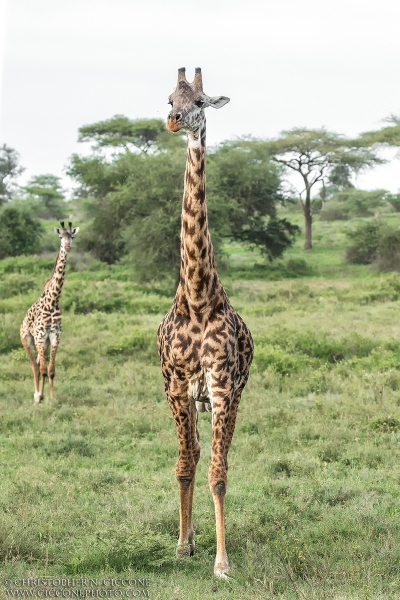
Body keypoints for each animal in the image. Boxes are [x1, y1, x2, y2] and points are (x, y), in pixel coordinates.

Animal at [20, 220, 79, 404]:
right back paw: (36, 396)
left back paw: (41, 394)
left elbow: (51, 370)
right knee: (34, 365)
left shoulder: (54, 336)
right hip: (27, 340)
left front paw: (52, 399)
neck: (53, 300)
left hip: (44, 343)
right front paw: (39, 397)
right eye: (61, 237)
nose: (68, 247)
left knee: (40, 364)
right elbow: (43, 369)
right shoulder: (40, 336)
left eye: (72, 236)